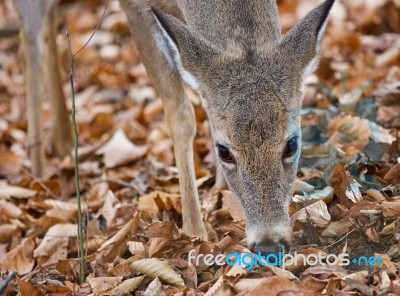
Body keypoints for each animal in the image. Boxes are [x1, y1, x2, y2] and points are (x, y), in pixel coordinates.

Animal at [119, 0, 338, 254]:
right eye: (224, 151)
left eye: (292, 144)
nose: (269, 245)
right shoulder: (133, 7)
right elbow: (180, 116)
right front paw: (194, 232)